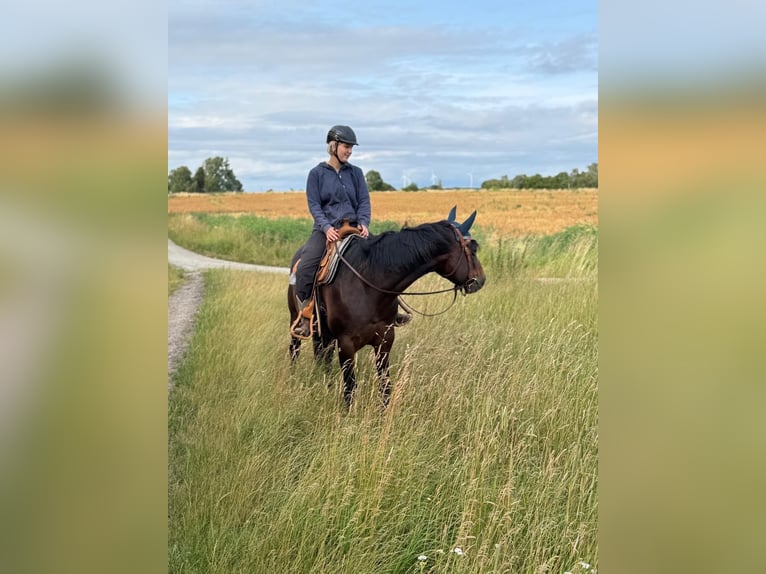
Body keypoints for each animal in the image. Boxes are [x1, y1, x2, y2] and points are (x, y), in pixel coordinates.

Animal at [287, 207, 486, 408]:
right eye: (473, 250)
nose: (481, 280)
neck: (368, 283)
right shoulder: (346, 344)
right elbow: (350, 387)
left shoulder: (385, 339)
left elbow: (385, 386)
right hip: (296, 319)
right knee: (295, 349)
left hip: (324, 332)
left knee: (323, 357)